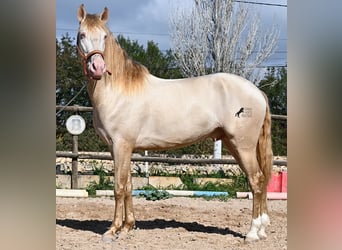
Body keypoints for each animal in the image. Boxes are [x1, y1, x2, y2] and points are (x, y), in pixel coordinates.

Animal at [77, 3, 272, 242]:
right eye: (82, 34)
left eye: (104, 36)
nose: (97, 67)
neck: (119, 90)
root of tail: (256, 92)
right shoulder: (120, 149)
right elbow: (129, 185)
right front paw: (128, 227)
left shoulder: (121, 145)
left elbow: (119, 187)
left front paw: (112, 230)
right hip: (236, 145)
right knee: (260, 181)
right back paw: (261, 230)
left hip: (243, 146)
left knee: (256, 180)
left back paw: (253, 233)